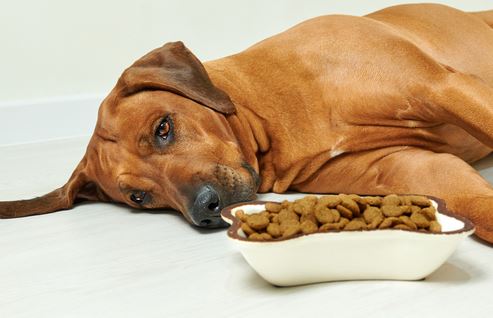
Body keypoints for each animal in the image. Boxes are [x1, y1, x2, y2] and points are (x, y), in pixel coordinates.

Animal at [0, 2, 492, 242]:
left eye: (163, 128)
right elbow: (471, 201)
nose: (204, 208)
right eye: (139, 197)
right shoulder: (410, 167)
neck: (277, 113)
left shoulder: (443, 87)